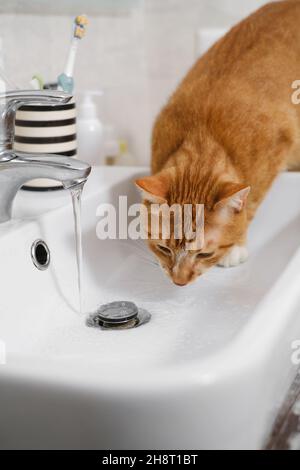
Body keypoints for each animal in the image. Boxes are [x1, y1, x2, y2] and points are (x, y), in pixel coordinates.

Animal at [135, 0, 300, 286]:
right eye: (164, 248)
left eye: (204, 254)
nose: (179, 281)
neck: (203, 133)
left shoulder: (276, 148)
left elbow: (251, 203)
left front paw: (236, 246)